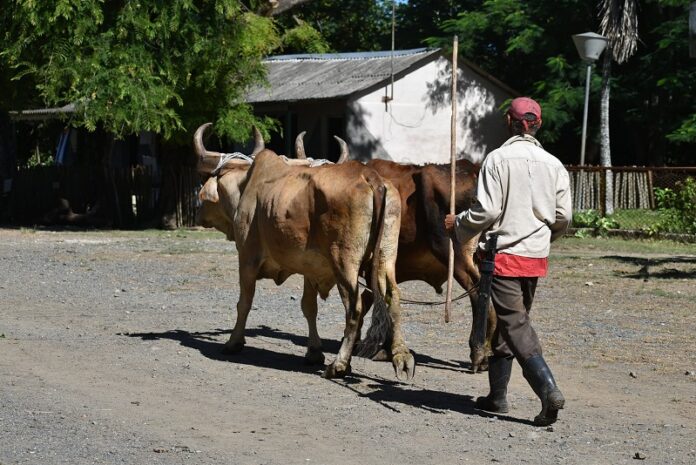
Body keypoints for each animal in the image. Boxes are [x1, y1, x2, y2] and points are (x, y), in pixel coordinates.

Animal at [193, 124, 416, 380]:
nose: (198, 213)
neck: (247, 186)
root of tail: (370, 176)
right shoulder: (312, 269)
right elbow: (309, 307)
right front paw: (314, 352)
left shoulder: (247, 258)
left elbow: (244, 302)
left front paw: (234, 342)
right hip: (385, 257)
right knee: (392, 296)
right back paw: (402, 357)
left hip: (344, 262)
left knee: (355, 307)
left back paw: (340, 363)